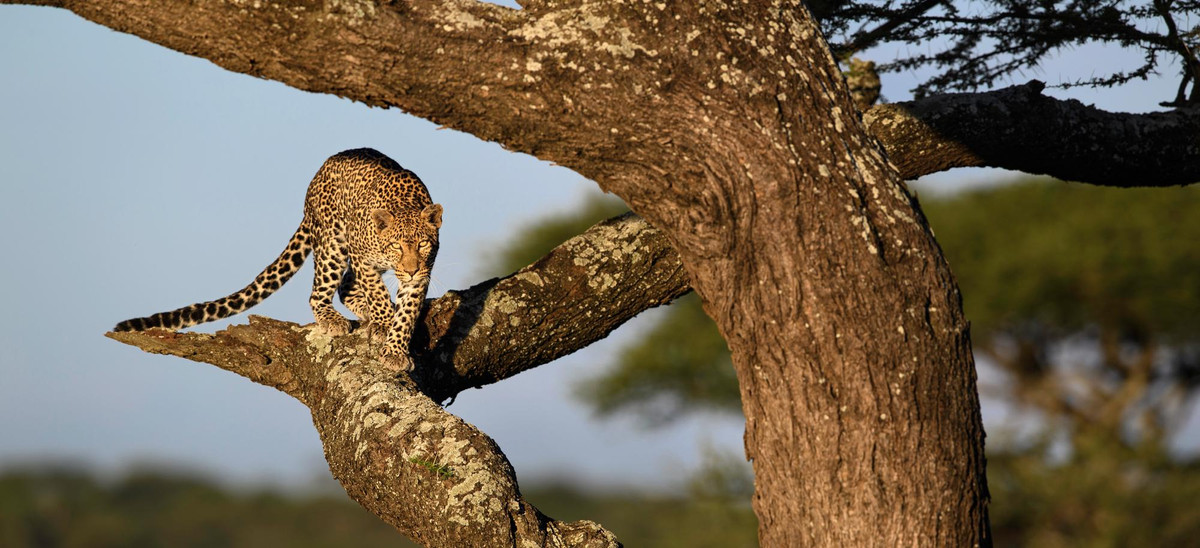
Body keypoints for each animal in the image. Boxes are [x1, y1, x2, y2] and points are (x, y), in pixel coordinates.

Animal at [113, 148, 442, 371]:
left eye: (423, 244)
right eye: (396, 246)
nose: (410, 270)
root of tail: (321, 171)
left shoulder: (421, 276)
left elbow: (407, 312)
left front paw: (396, 348)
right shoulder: (364, 258)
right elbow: (378, 295)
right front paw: (384, 324)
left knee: (346, 286)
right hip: (332, 244)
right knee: (322, 291)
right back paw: (335, 318)